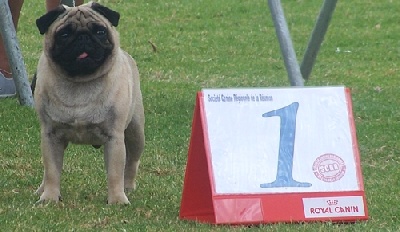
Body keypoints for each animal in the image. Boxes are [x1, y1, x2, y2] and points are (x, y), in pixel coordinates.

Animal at [34, 2, 144, 205]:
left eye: (100, 31)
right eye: (64, 34)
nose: (83, 37)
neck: (80, 83)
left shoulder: (114, 138)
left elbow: (115, 173)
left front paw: (117, 200)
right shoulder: (50, 136)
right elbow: (52, 171)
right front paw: (50, 198)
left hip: (136, 133)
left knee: (132, 162)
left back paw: (128, 187)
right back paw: (41, 190)